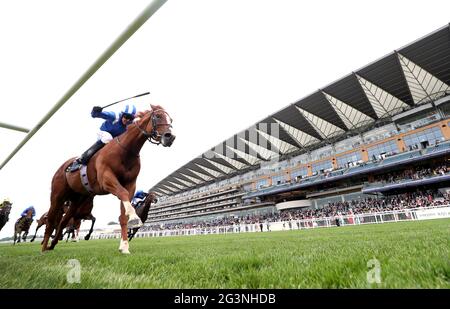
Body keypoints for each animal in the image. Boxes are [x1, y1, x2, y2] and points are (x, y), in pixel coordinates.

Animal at [43, 105, 175, 253]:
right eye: (158, 116)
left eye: (170, 119)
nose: (170, 137)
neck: (126, 150)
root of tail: (62, 167)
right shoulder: (106, 179)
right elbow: (122, 194)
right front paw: (134, 218)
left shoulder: (130, 184)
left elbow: (123, 214)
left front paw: (124, 246)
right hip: (57, 196)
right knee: (51, 220)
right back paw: (44, 247)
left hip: (77, 199)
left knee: (63, 221)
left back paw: (52, 244)